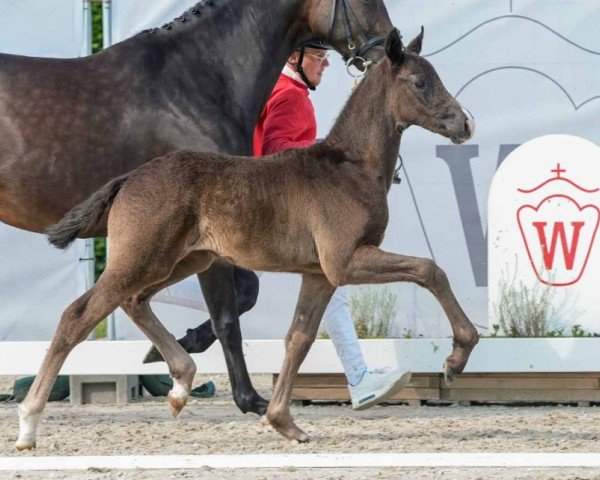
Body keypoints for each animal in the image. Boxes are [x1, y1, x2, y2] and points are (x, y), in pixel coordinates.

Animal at [0, 0, 394, 416]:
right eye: (364, 0)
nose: (391, 53)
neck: (196, 80)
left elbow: (244, 295)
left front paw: (173, 351)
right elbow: (227, 316)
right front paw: (249, 399)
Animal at [19, 27, 478, 450]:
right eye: (420, 82)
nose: (465, 122)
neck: (349, 168)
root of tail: (130, 177)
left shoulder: (320, 274)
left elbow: (299, 338)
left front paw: (283, 422)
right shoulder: (345, 260)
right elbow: (429, 269)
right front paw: (457, 357)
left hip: (185, 260)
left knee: (134, 300)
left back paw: (180, 384)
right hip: (143, 258)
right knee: (77, 315)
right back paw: (28, 424)